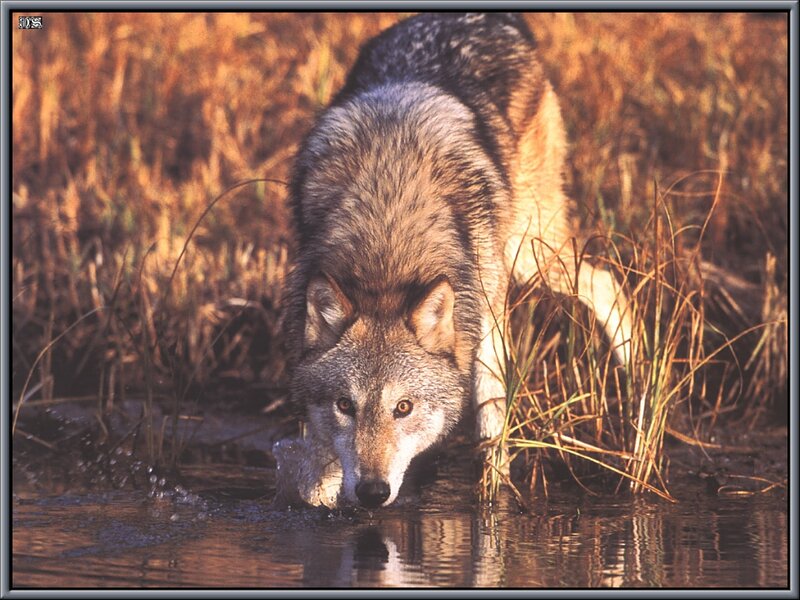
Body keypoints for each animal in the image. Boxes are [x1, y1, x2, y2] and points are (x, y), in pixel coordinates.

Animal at [283, 12, 632, 508]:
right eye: (345, 405)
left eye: (403, 407)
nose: (372, 492)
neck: (388, 239)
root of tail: (484, 16)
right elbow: (316, 476)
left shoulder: (484, 318)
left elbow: (490, 417)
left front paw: (493, 496)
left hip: (529, 252)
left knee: (605, 283)